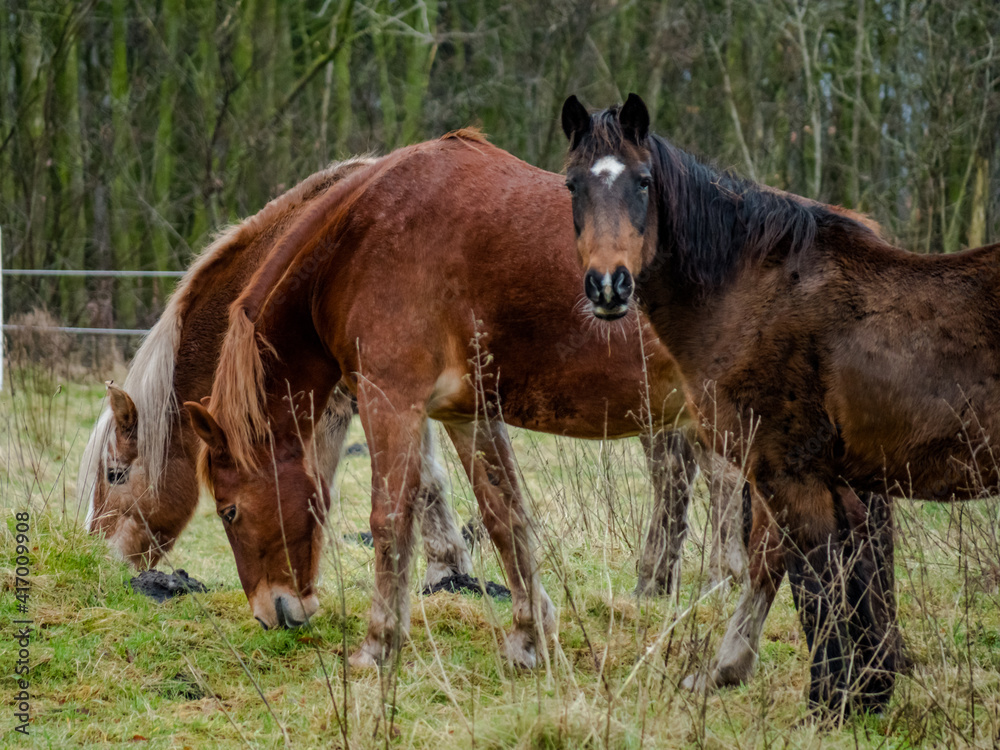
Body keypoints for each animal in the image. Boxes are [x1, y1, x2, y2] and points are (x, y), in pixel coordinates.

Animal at [185, 129, 896, 674]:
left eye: (228, 511)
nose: (276, 613)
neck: (361, 242)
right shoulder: (464, 413)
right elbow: (507, 518)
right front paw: (530, 638)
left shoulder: (392, 403)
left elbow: (392, 522)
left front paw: (377, 648)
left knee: (780, 543)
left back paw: (747, 664)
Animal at [560, 93, 999, 713]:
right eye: (573, 185)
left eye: (643, 182)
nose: (608, 286)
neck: (756, 296)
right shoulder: (837, 482)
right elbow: (846, 578)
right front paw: (867, 693)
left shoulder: (791, 475)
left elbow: (815, 584)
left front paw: (829, 703)